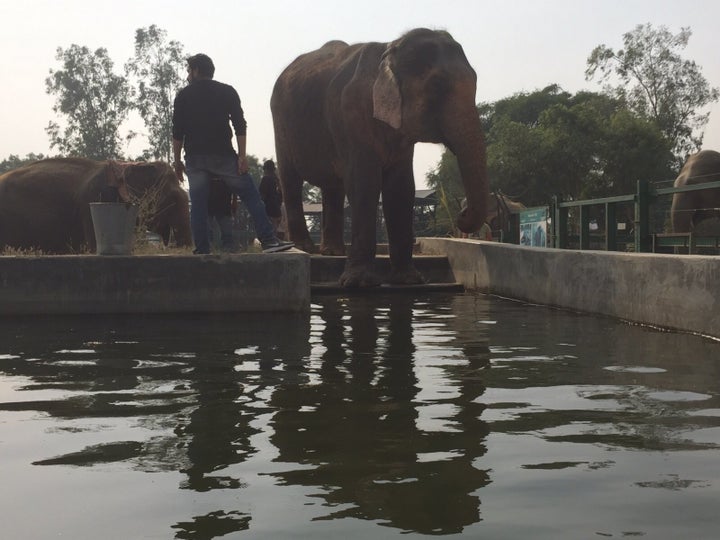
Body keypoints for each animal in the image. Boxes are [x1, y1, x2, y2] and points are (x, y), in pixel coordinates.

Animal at [270, 28, 490, 286]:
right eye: (437, 86)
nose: (461, 215)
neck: (389, 50)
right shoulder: (351, 116)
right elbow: (364, 182)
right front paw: (359, 283)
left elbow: (401, 188)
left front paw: (410, 280)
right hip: (281, 123)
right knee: (290, 179)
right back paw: (305, 247)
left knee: (333, 187)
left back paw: (333, 252)